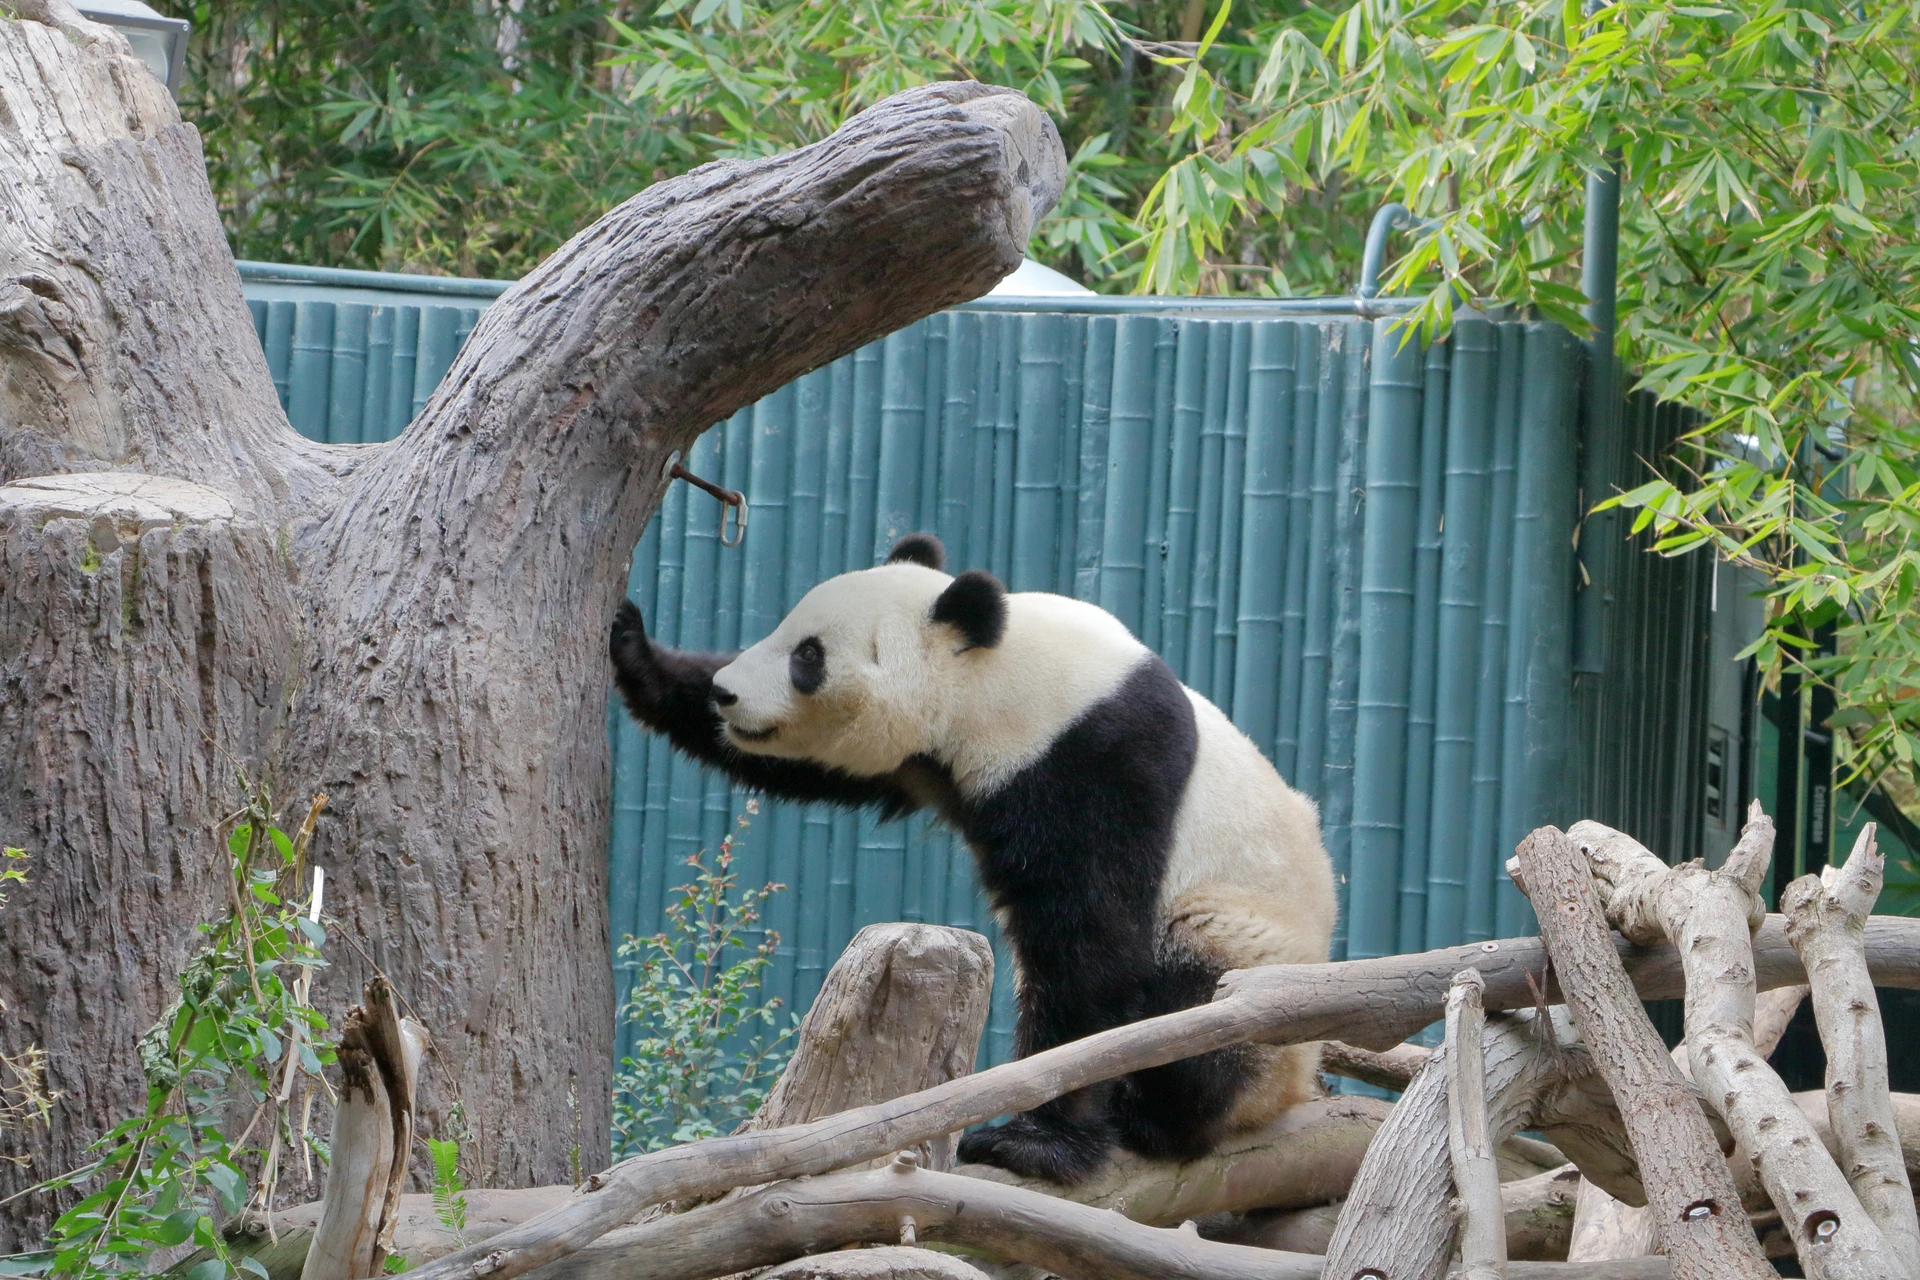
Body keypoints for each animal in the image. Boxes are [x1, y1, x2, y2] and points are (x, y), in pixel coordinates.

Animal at [609, 532, 1335, 1184]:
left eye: (808, 656)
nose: (727, 693)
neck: (996, 676)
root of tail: (1296, 1090)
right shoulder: (918, 762)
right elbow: (805, 765)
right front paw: (634, 646)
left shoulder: (1094, 762)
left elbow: (1090, 945)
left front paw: (1033, 1143)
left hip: (1242, 947)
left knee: (1195, 1000)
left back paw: (1159, 1117)